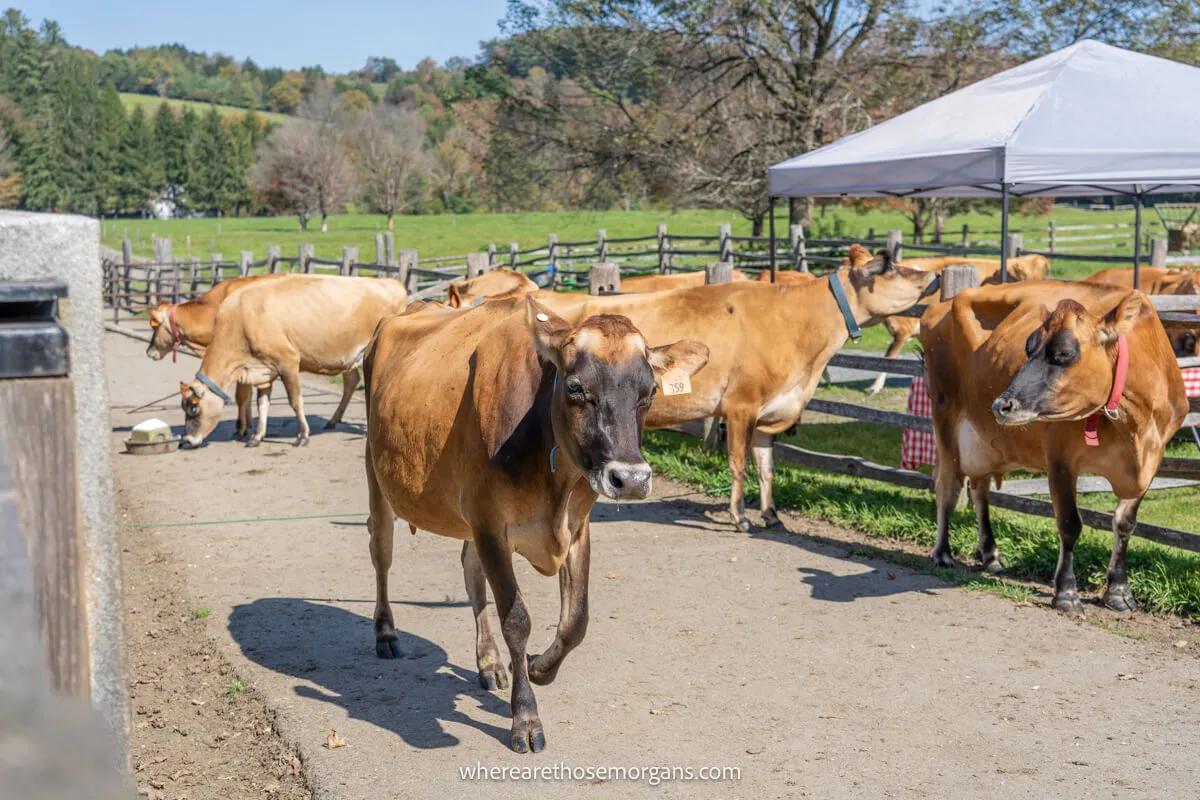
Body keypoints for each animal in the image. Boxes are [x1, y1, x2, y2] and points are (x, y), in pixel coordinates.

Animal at [145, 275, 283, 441]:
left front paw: (240, 429)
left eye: (154, 326)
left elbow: (241, 396)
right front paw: (247, 424)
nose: (149, 351)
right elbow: (248, 394)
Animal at [180, 277, 408, 448]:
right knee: (352, 380)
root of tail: (393, 283)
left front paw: (303, 436)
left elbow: (295, 401)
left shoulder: (288, 361)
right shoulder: (265, 369)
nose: (187, 441)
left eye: (194, 408)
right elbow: (262, 403)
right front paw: (257, 436)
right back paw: (333, 421)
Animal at [360, 292, 705, 753]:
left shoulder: (575, 528)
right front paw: (525, 716)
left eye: (650, 392)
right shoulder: (490, 523)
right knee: (381, 552)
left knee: (471, 572)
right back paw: (386, 633)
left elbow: (576, 620)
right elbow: (517, 621)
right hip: (377, 474)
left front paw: (539, 667)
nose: (630, 479)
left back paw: (489, 662)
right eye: (575, 388)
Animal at [916, 281, 1190, 614]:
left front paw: (1118, 591)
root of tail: (940, 305)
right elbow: (1070, 524)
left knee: (980, 488)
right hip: (945, 414)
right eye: (1027, 348)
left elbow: (1125, 524)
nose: (1001, 405)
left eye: (1063, 352)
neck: (1134, 427)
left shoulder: (1152, 460)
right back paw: (942, 553)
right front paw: (1066, 593)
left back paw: (991, 555)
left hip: (986, 438)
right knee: (946, 485)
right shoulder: (1060, 456)